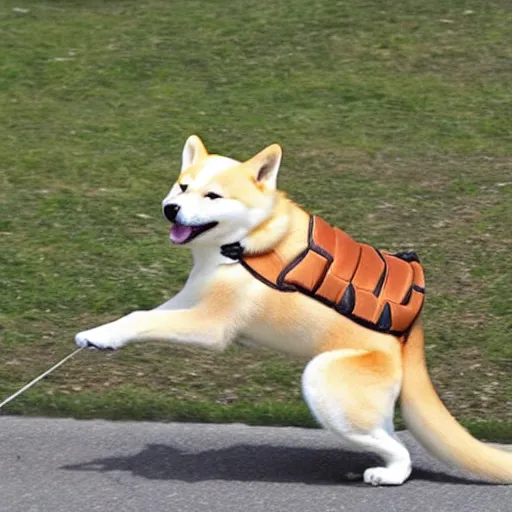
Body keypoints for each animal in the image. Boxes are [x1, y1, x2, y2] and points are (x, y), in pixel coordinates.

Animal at [77, 135, 512, 484]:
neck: (243, 242)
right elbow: (139, 315)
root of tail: (408, 336)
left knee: (400, 451)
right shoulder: (190, 299)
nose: (171, 209)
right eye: (182, 187)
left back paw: (387, 475)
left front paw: (100, 337)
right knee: (388, 436)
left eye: (213, 196)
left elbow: (144, 319)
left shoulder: (209, 325)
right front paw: (101, 335)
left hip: (322, 381)